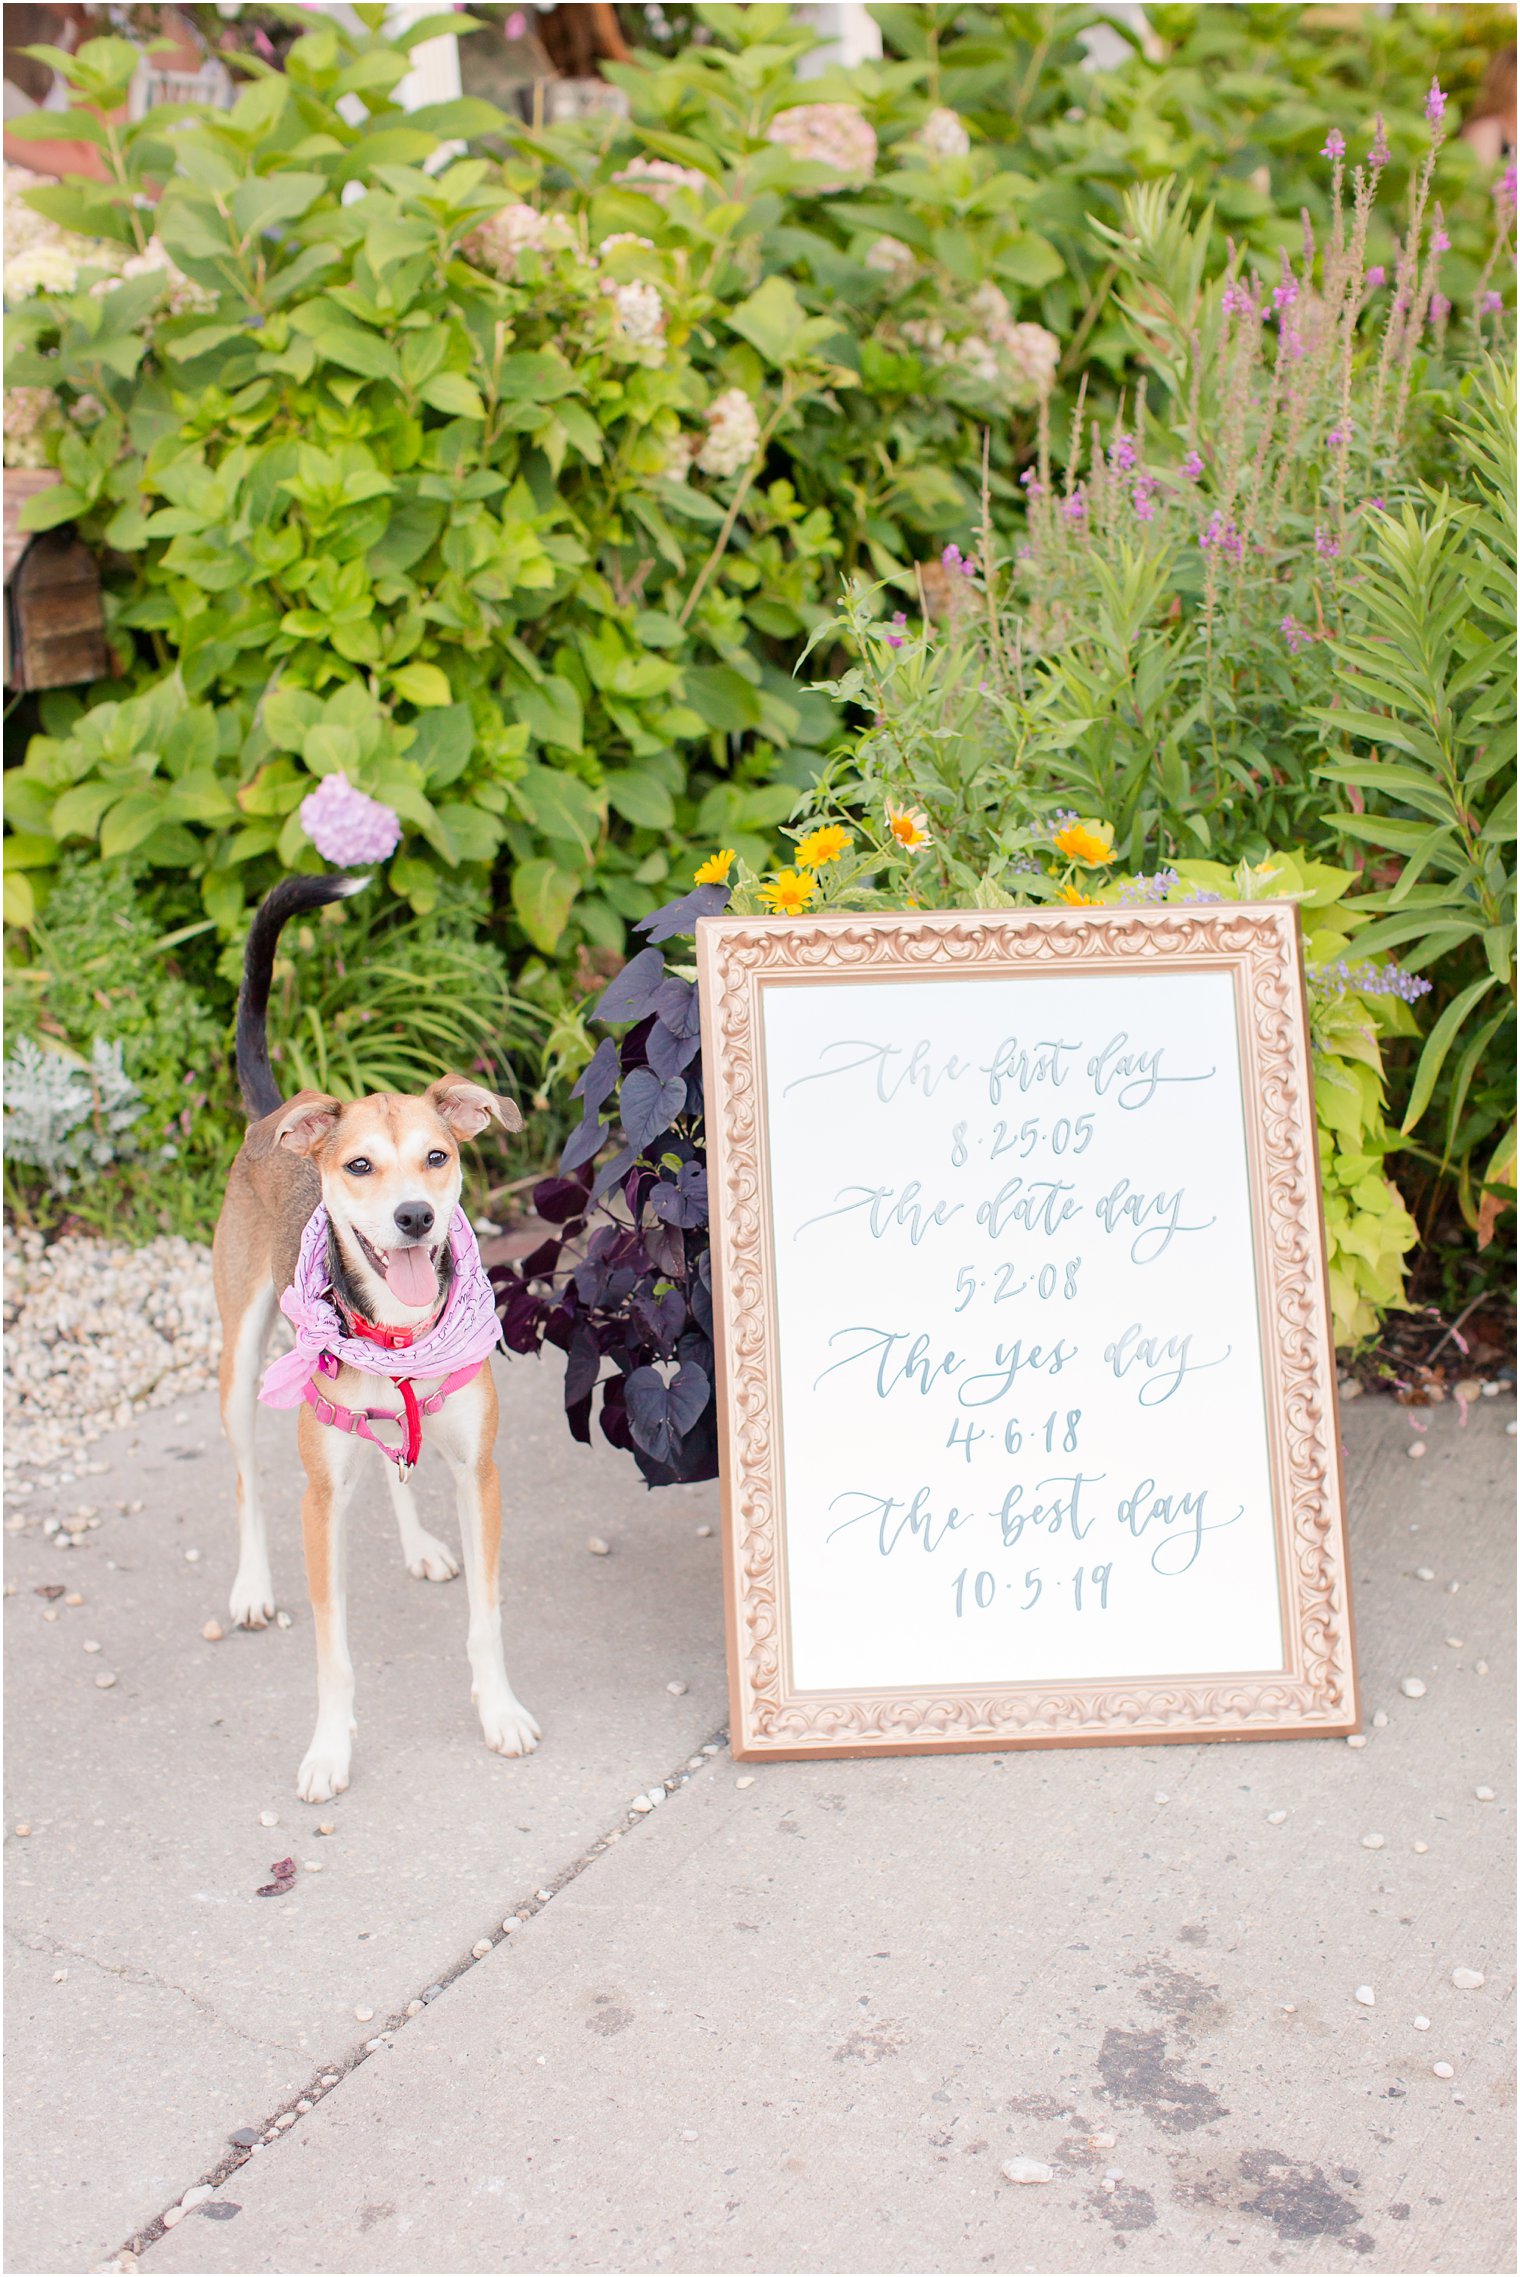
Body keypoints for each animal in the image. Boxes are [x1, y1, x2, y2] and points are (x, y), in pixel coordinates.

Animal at [216, 869, 537, 1794]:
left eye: (438, 1155)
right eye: (359, 1164)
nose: (415, 1215)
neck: (398, 1339)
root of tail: (277, 1113)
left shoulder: (479, 1473)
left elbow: (486, 1617)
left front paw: (499, 1711)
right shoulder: (320, 1501)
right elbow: (334, 1653)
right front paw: (330, 1748)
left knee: (396, 1456)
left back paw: (421, 1542)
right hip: (239, 1361)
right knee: (247, 1479)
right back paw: (252, 1586)